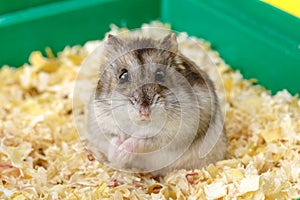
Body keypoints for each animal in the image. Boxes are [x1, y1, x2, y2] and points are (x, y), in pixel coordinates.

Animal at [84, 33, 227, 177]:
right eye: (122, 75)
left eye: (160, 74)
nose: (144, 111)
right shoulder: (103, 122)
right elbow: (113, 137)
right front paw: (115, 155)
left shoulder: (170, 134)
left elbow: (141, 140)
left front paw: (121, 153)